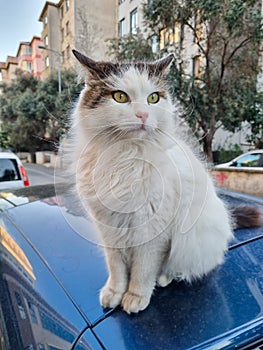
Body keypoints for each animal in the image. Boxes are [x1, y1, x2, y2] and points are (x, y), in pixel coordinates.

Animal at [68, 50, 262, 314]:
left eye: (153, 98)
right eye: (120, 97)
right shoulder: (109, 228)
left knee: (177, 267)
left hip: (192, 241)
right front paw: (114, 293)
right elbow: (116, 268)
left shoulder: (152, 229)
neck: (125, 156)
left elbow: (143, 269)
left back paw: (164, 278)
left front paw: (135, 296)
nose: (143, 115)